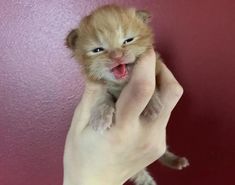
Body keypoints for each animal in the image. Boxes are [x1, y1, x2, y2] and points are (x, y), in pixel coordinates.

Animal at [65, 4, 189, 185]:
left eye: (128, 40)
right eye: (98, 50)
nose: (117, 56)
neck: (122, 85)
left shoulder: (157, 67)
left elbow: (154, 85)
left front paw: (151, 105)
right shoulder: (102, 88)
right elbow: (103, 97)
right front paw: (101, 115)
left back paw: (175, 161)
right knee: (143, 176)